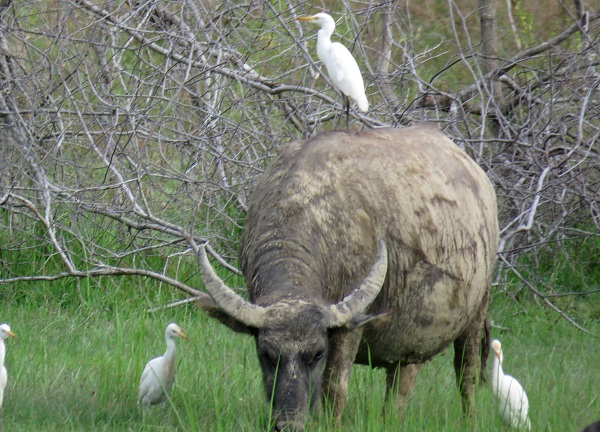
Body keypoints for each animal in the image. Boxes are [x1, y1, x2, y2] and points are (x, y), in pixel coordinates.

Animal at [196, 124, 496, 428]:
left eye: (318, 353)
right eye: (266, 354)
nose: (290, 424)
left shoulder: (348, 330)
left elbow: (333, 388)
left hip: (476, 313)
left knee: (467, 375)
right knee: (400, 383)